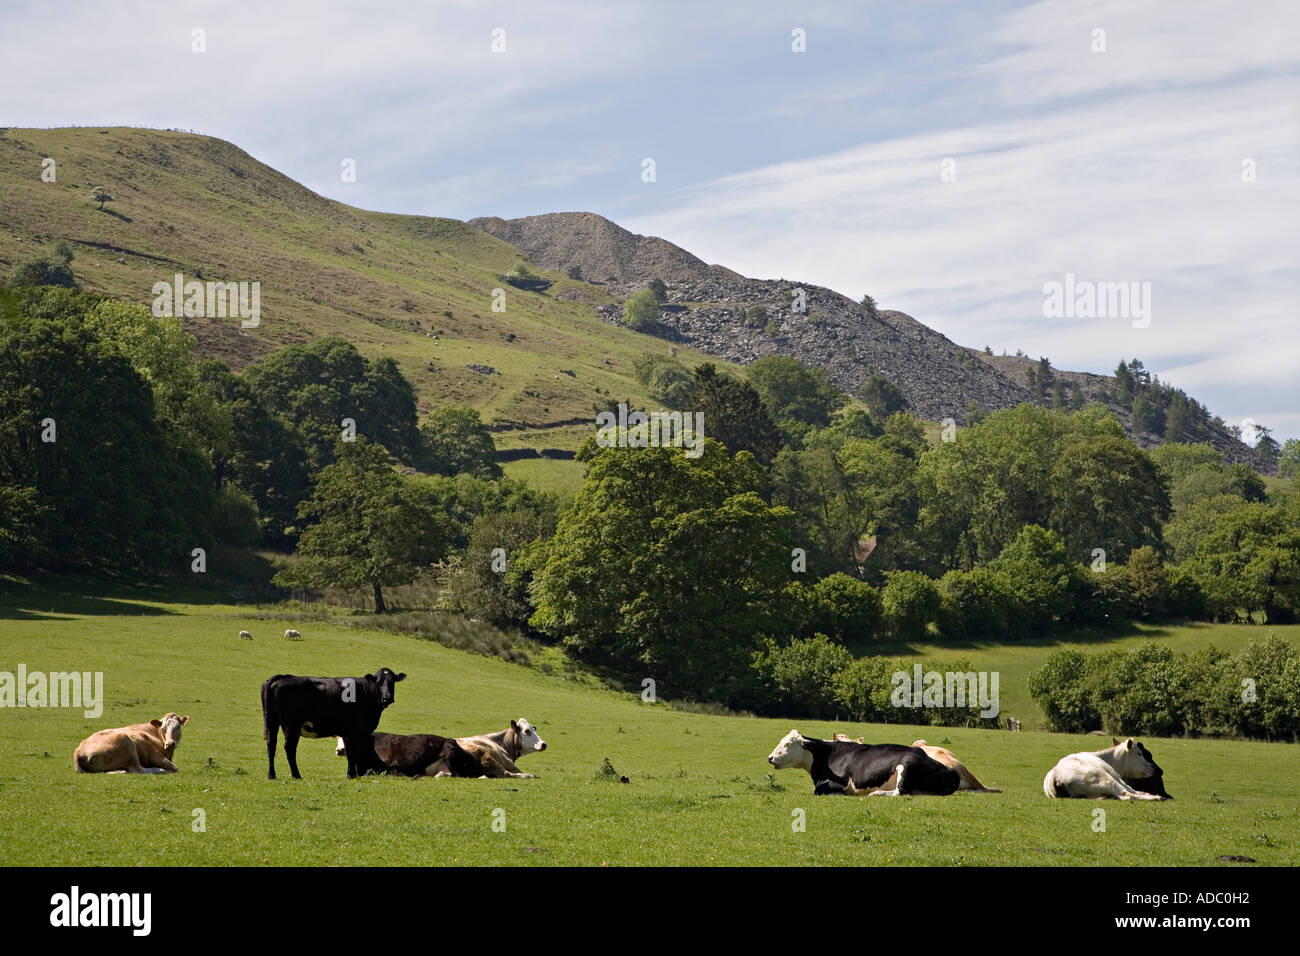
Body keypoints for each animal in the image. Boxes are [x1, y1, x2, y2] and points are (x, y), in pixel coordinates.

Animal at [260, 671, 405, 780]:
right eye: (379, 682)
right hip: (292, 726)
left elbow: (351, 752)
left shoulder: (348, 733)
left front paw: (351, 774)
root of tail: (282, 676)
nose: (387, 698)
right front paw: (353, 774)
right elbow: (353, 752)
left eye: (392, 682)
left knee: (271, 746)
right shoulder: (356, 732)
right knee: (289, 748)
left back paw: (271, 775)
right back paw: (296, 775)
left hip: (273, 721)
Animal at [764, 728, 961, 796]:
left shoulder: (840, 783)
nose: (770, 758)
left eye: (787, 744)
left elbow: (820, 790)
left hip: (907, 765)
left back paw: (876, 793)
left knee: (901, 791)